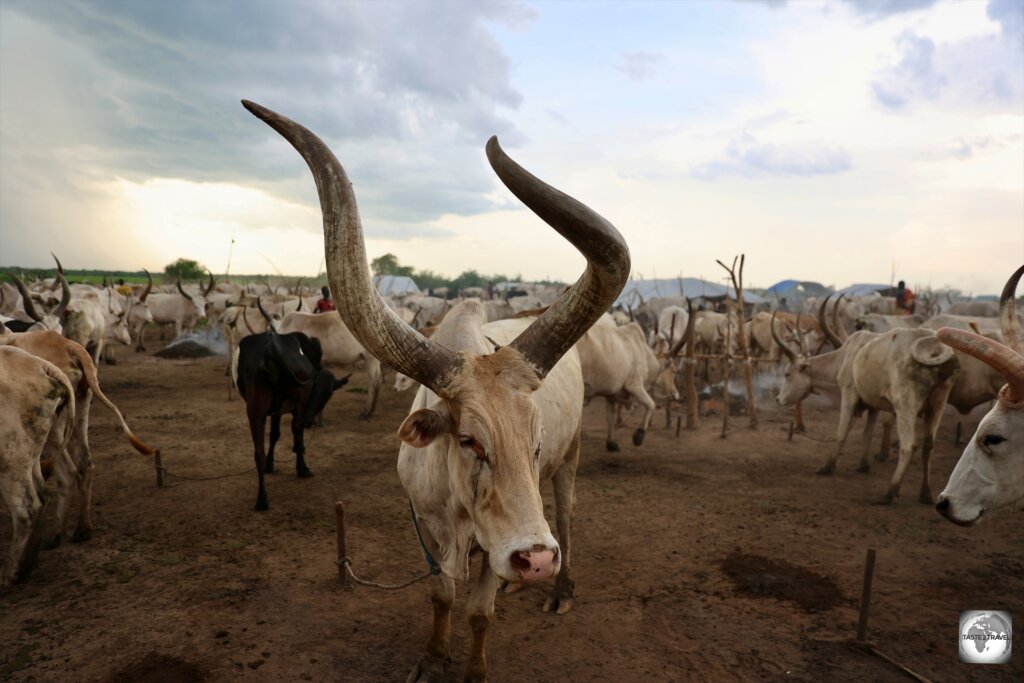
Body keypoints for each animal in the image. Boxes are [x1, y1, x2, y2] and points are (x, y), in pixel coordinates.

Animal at [235, 296, 348, 509]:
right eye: (327, 395)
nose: (311, 420)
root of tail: (271, 348)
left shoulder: (277, 410)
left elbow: (274, 435)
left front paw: (271, 464)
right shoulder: (298, 406)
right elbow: (292, 432)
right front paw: (298, 459)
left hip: (255, 411)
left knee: (258, 452)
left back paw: (262, 498)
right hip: (290, 403)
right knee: (295, 430)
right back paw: (300, 469)